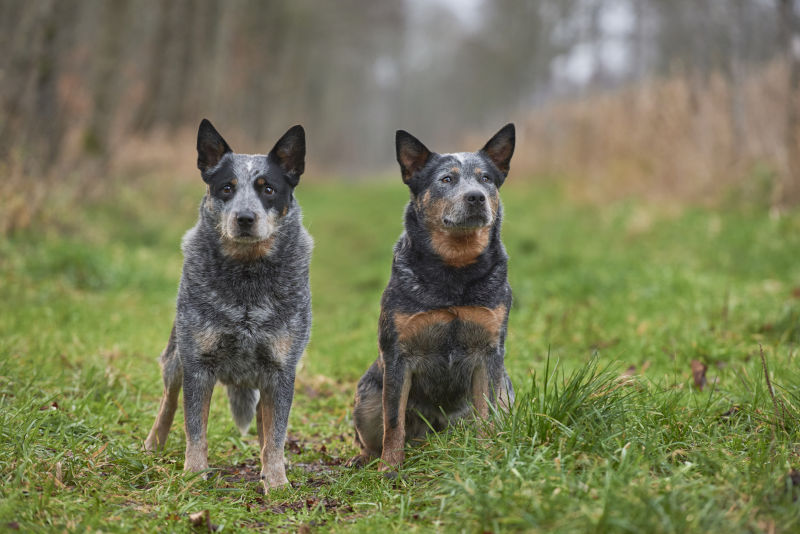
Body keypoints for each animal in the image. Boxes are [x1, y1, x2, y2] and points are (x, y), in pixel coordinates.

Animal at [142, 118, 310, 494]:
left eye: (268, 189)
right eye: (227, 188)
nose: (245, 217)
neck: (246, 279)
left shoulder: (281, 370)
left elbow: (275, 435)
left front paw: (277, 482)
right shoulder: (198, 364)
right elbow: (195, 429)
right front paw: (194, 475)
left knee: (264, 425)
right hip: (176, 357)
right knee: (168, 400)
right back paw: (153, 444)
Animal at [352, 124, 516, 474]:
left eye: (486, 178)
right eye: (446, 179)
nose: (476, 197)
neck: (454, 272)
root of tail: (435, 436)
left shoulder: (490, 352)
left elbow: (488, 416)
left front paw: (488, 457)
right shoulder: (398, 355)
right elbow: (393, 422)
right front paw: (390, 469)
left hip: (506, 390)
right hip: (368, 394)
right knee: (374, 432)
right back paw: (366, 459)